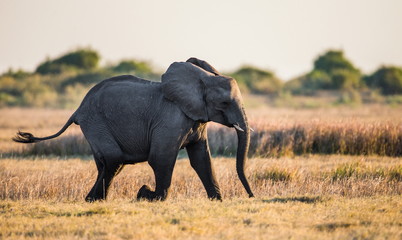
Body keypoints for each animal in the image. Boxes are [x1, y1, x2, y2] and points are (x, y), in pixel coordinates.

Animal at [15, 57, 256, 202]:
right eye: (224, 103)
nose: (252, 196)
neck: (201, 79)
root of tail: (77, 109)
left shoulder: (195, 119)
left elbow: (201, 160)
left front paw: (217, 200)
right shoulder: (170, 119)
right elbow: (161, 159)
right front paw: (148, 195)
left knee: (107, 164)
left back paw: (92, 200)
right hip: (96, 122)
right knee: (113, 160)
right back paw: (97, 199)